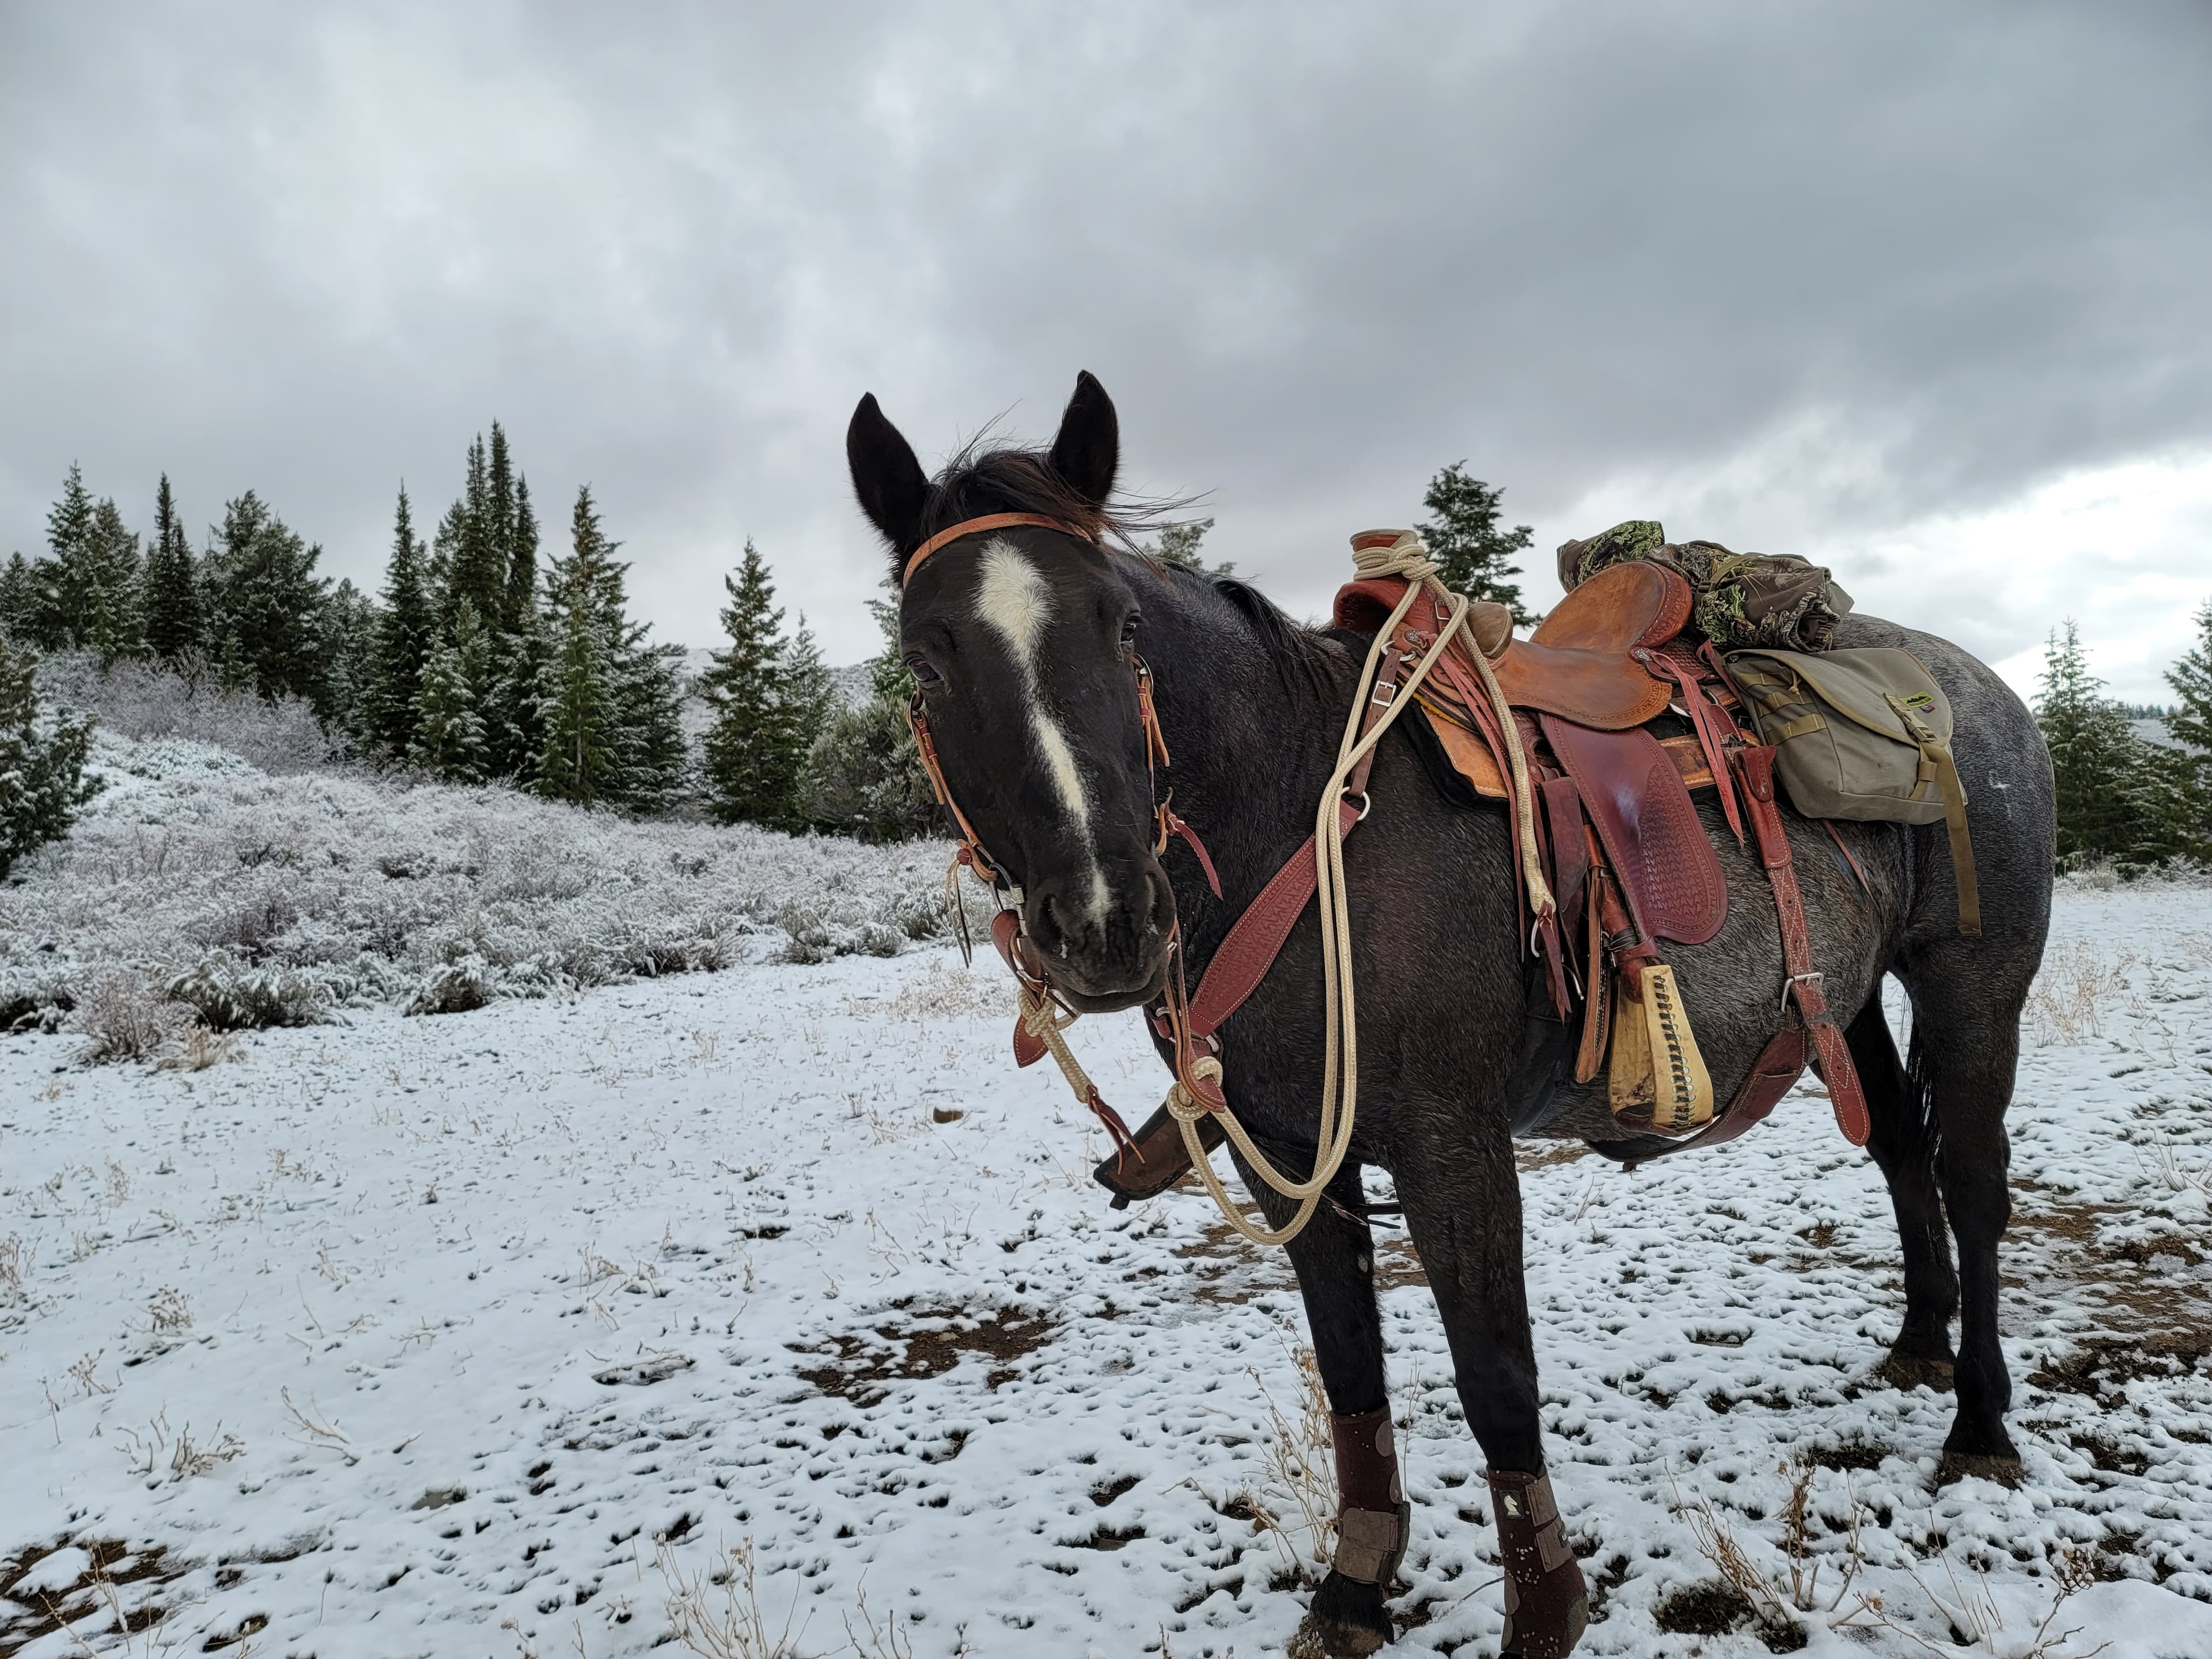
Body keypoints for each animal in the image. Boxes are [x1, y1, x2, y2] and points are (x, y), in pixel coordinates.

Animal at [845, 371, 2056, 1657]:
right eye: (925, 664)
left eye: (1122, 629)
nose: (1107, 920)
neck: (1306, 823)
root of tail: (1978, 688)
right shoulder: (1286, 1157)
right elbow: (1352, 1371)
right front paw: (1354, 1586)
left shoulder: (1454, 1151)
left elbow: (1495, 1379)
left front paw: (1545, 1608)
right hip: (1854, 997)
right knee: (1900, 1150)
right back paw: (1920, 1345)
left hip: (1974, 987)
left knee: (1974, 1181)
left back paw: (1981, 1424)